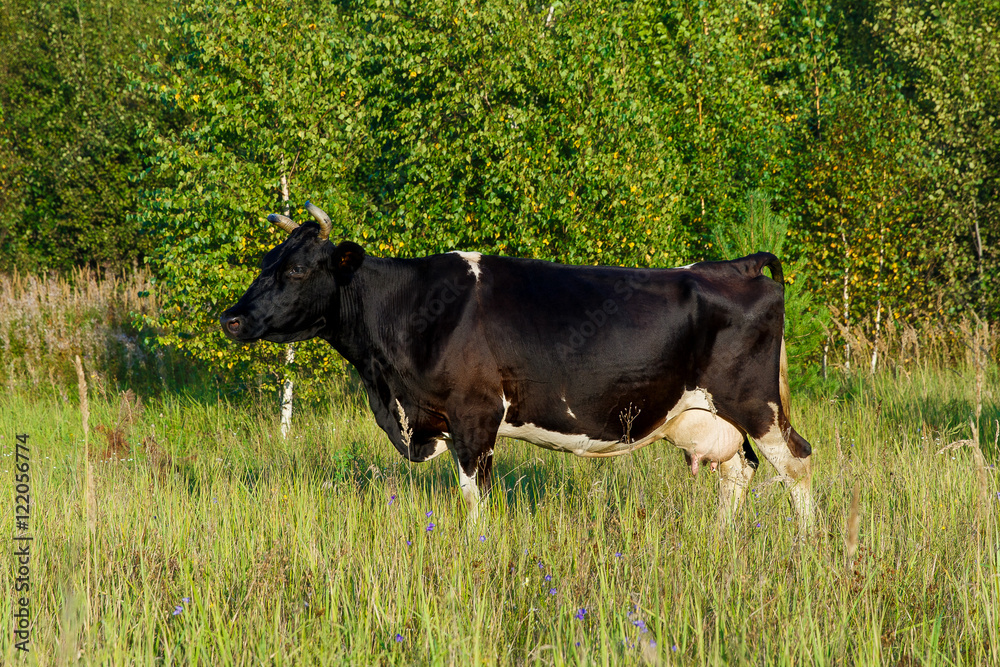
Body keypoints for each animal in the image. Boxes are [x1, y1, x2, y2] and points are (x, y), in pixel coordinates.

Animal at [219, 206, 812, 528]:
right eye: (265, 262)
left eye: (297, 270)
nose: (231, 318)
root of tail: (733, 265)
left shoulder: (474, 415)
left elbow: (474, 497)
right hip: (709, 416)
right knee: (740, 470)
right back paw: (721, 539)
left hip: (755, 403)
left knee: (797, 463)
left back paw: (806, 548)